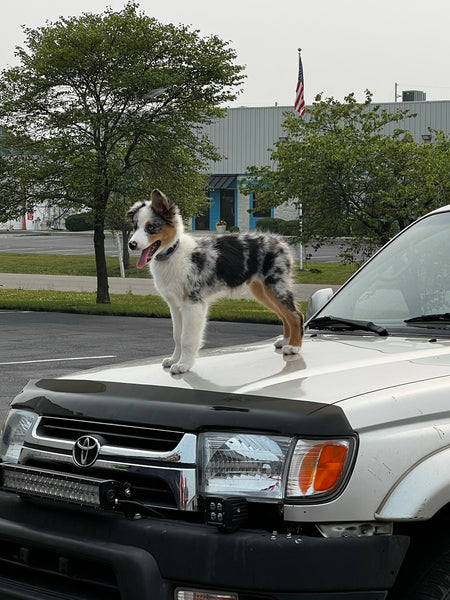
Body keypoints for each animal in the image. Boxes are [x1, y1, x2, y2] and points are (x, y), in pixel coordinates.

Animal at [126, 190, 304, 372]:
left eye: (151, 227)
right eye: (135, 226)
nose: (131, 244)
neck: (173, 253)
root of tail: (280, 241)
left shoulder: (193, 303)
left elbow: (187, 338)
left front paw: (184, 364)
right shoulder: (175, 305)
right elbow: (177, 335)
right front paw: (174, 359)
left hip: (275, 285)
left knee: (295, 315)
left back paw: (294, 346)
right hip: (262, 290)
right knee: (284, 314)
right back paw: (286, 341)